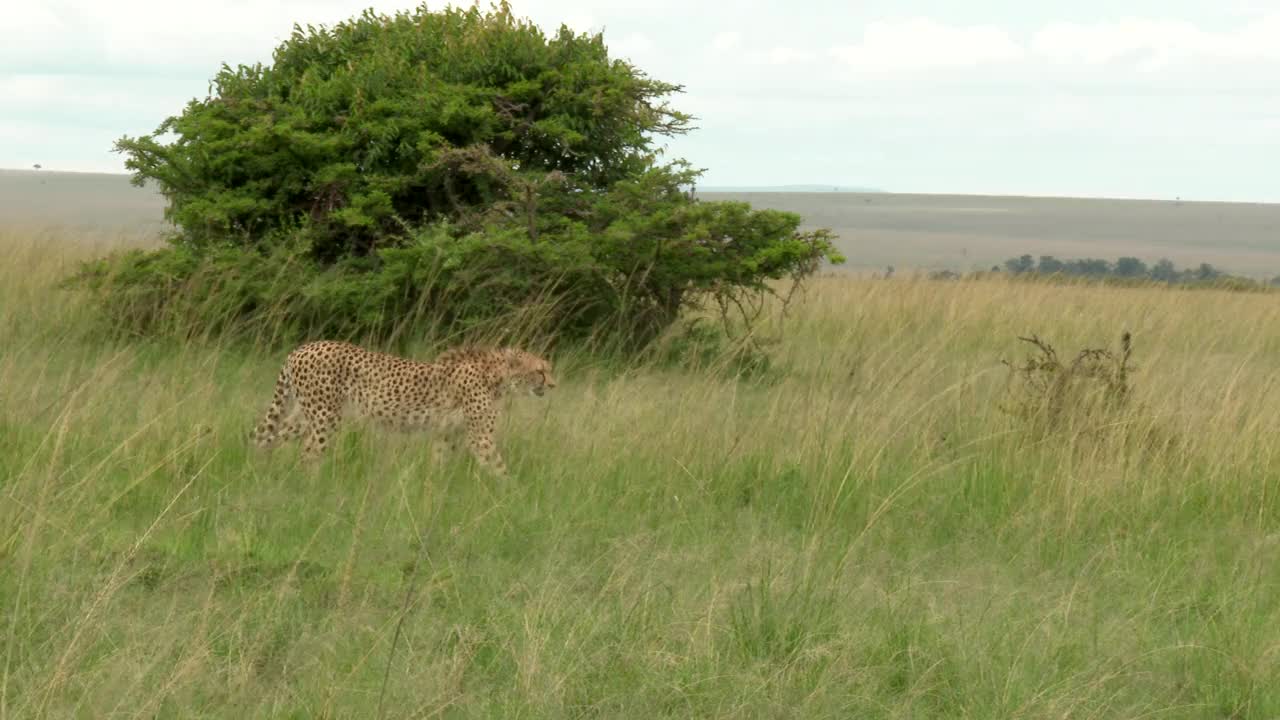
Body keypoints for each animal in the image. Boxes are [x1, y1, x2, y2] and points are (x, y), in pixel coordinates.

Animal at [247, 340, 552, 474]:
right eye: (540, 371)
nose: (553, 385)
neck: (497, 376)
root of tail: (301, 348)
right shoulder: (480, 438)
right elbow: (500, 468)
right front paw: (514, 498)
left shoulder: (447, 433)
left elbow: (439, 463)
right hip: (325, 417)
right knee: (308, 452)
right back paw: (312, 486)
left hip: (306, 414)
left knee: (266, 437)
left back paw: (260, 472)